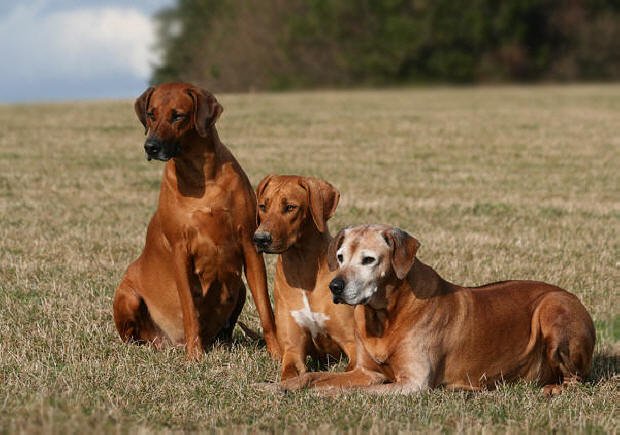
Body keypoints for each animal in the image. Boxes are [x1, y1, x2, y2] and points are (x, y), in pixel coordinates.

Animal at [112, 82, 280, 362]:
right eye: (151, 114)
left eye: (178, 116)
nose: (150, 146)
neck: (200, 175)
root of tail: (168, 342)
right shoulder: (180, 252)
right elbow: (189, 308)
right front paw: (194, 355)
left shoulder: (250, 245)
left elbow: (266, 309)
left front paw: (278, 351)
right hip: (128, 296)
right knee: (132, 337)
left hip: (240, 288)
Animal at [252, 175, 356, 380]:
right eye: (263, 206)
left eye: (290, 207)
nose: (260, 239)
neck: (303, 268)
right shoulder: (293, 349)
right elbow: (290, 373)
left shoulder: (353, 344)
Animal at [282, 225, 596, 396]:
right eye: (339, 257)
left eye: (368, 260)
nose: (334, 287)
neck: (386, 315)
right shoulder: (365, 371)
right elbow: (313, 377)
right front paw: (282, 386)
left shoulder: (412, 383)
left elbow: (342, 389)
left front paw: (319, 394)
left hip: (552, 308)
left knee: (578, 378)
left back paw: (554, 388)